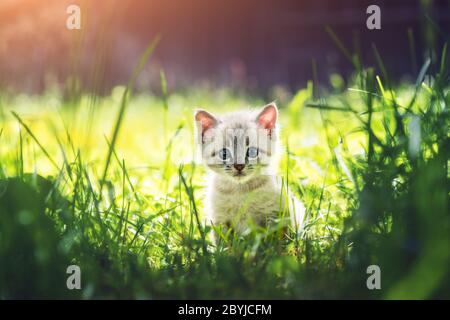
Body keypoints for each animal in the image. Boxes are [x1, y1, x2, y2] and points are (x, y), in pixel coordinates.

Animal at [194, 103, 306, 235]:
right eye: (224, 154)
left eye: (252, 152)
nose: (239, 165)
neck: (240, 191)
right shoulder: (219, 220)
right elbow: (222, 239)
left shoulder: (277, 215)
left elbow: (276, 237)